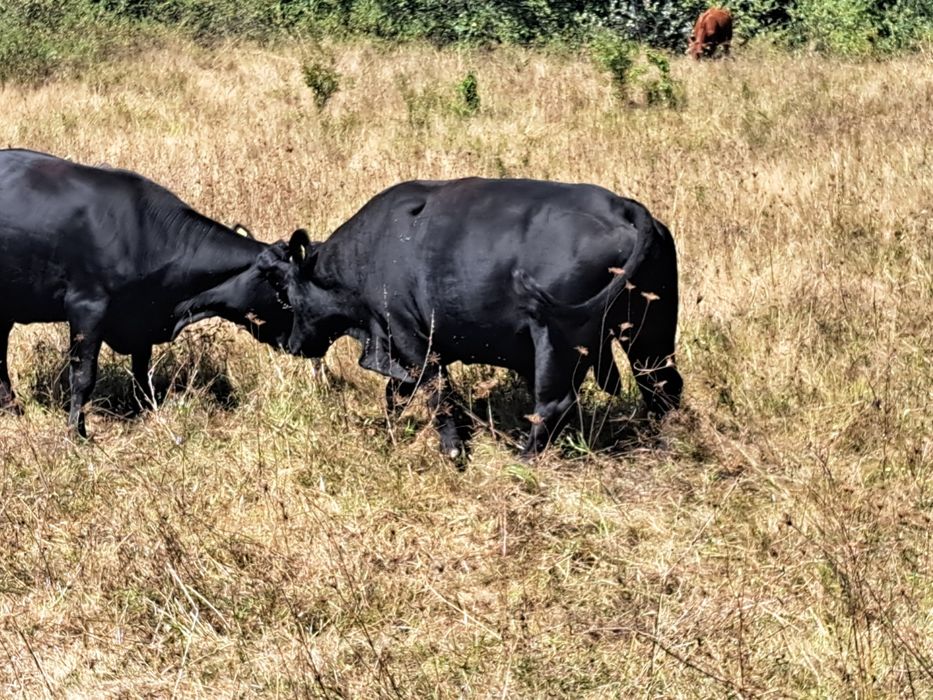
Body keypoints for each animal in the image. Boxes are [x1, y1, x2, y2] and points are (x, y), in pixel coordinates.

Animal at [0, 149, 293, 436]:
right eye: (284, 290)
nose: (302, 343)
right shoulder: (86, 309)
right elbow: (83, 377)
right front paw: (77, 433)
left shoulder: (142, 321)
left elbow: (142, 374)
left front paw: (148, 415)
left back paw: (13, 409)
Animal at [261, 178, 682, 460]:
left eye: (285, 290)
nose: (289, 343)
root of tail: (622, 207)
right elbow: (395, 395)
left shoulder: (412, 340)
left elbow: (436, 395)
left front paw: (453, 450)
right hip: (649, 337)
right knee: (662, 385)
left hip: (557, 341)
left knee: (554, 404)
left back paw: (523, 458)